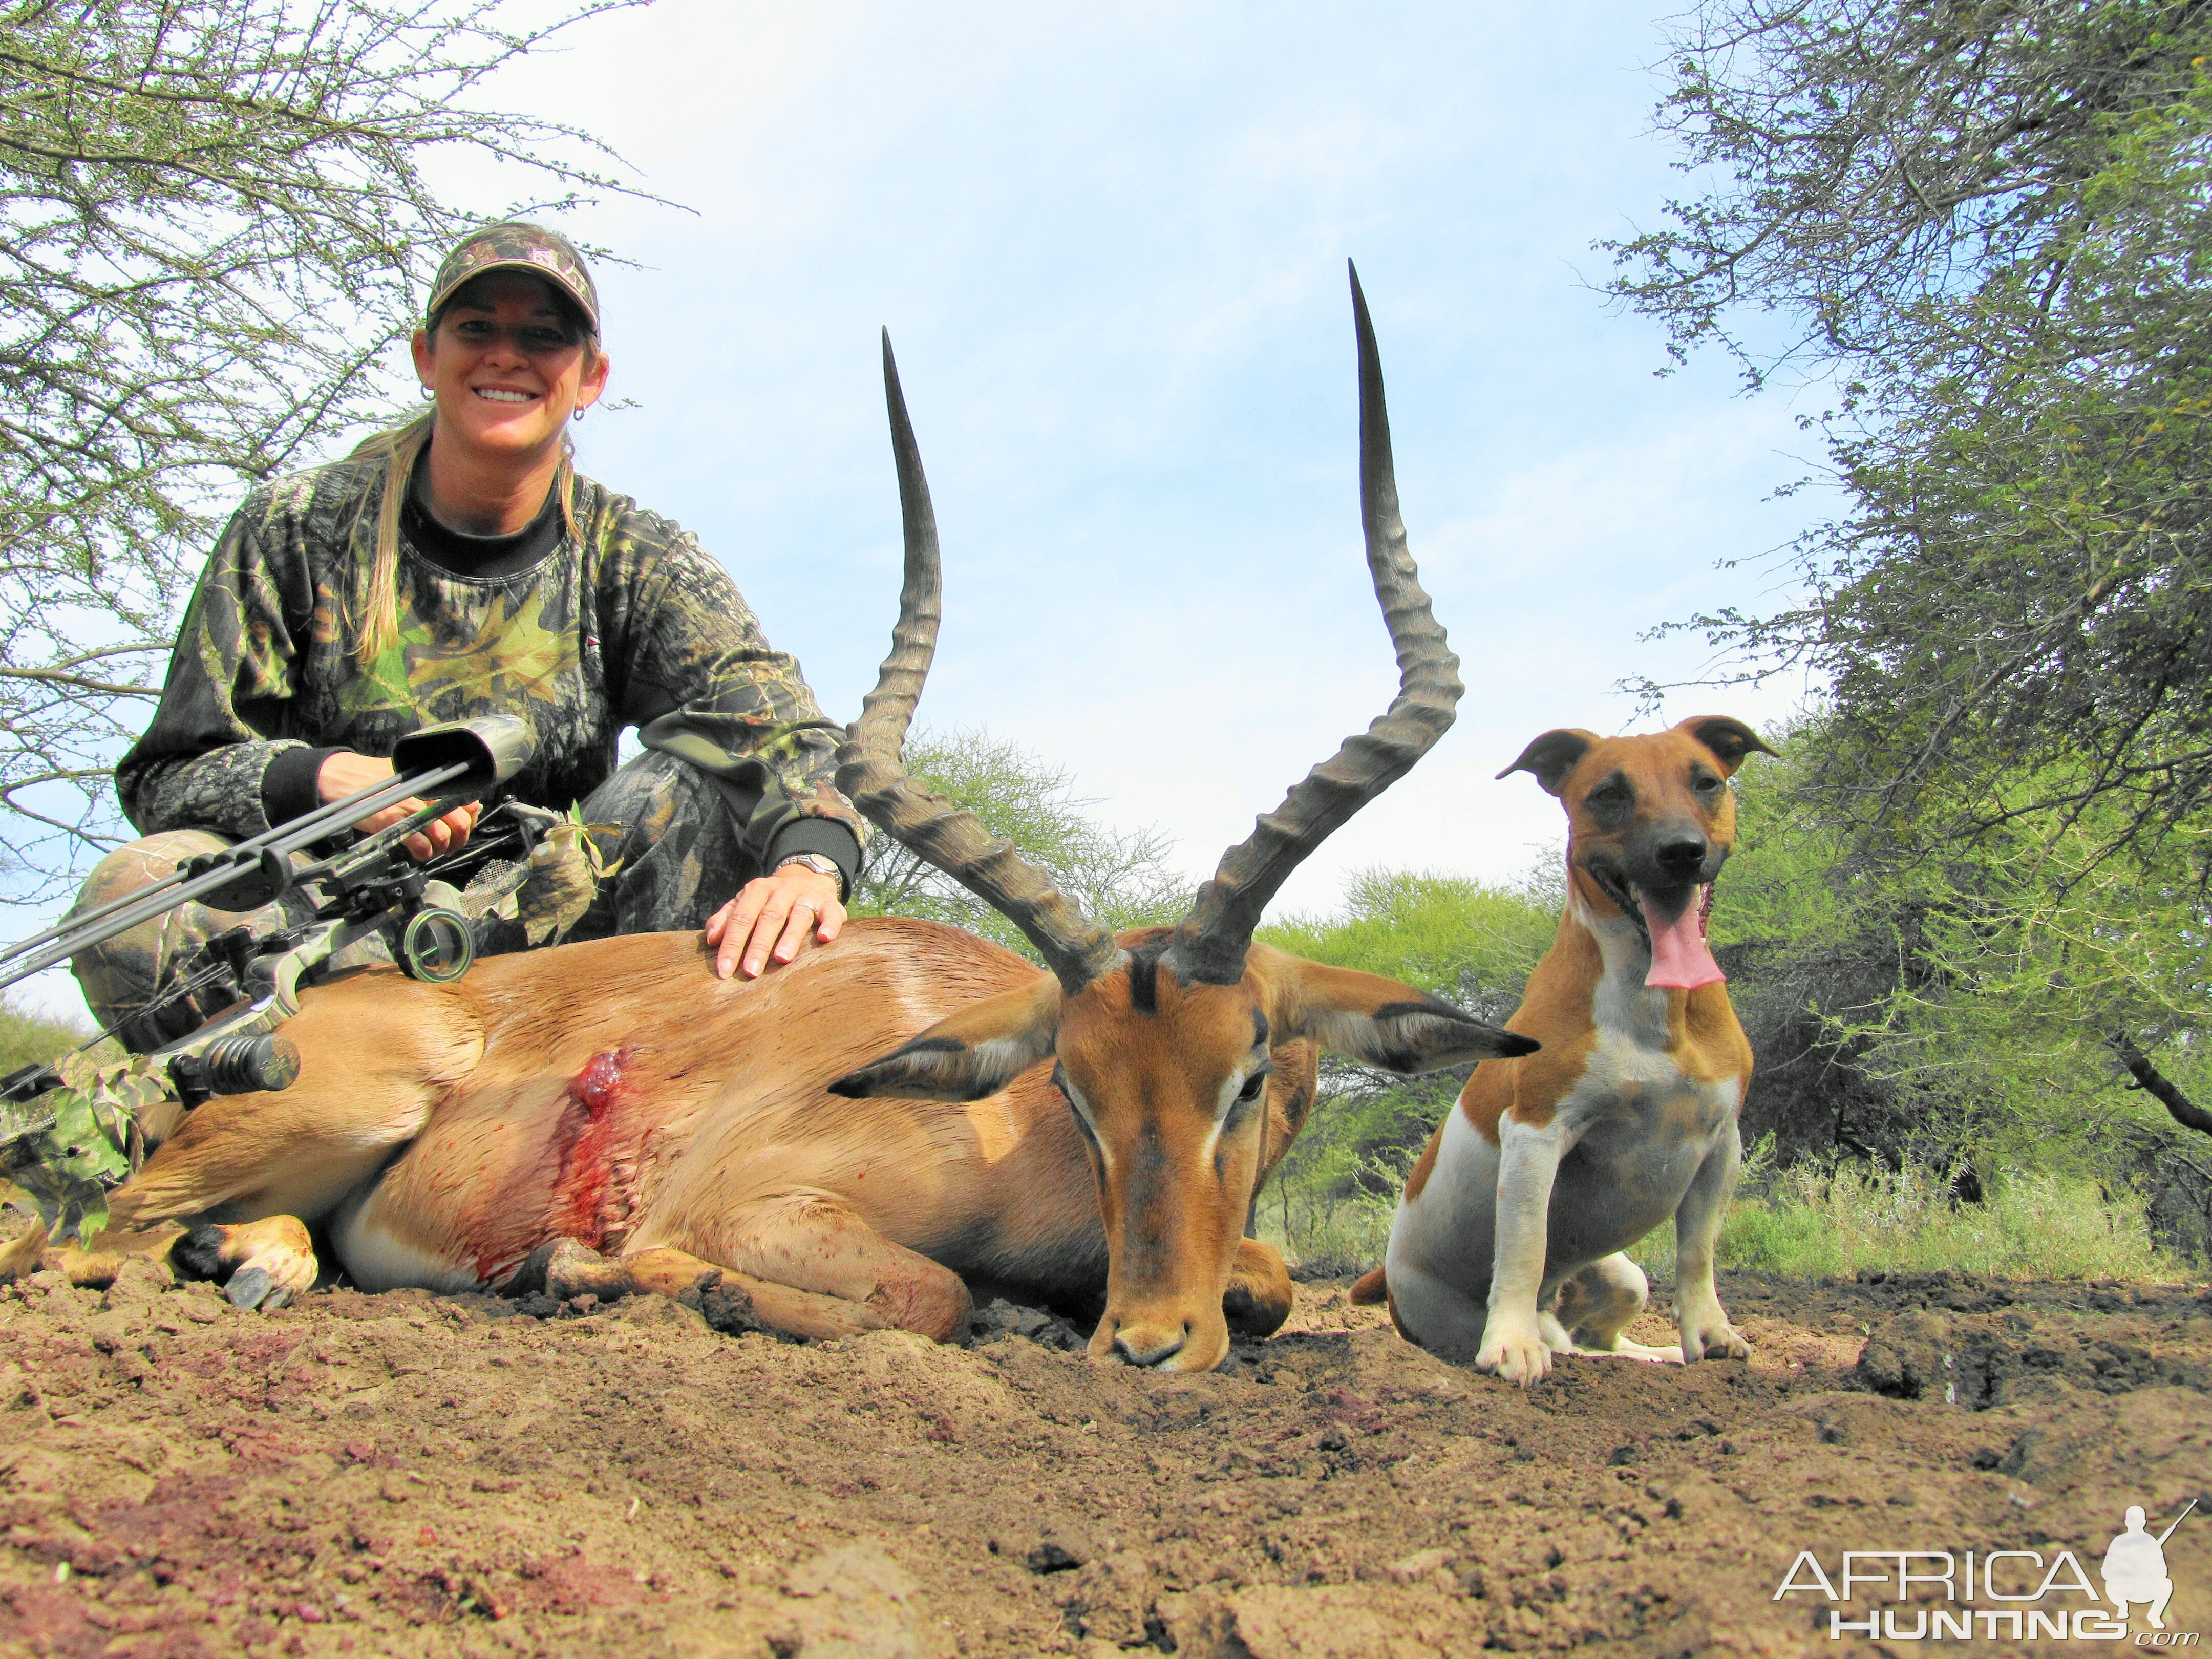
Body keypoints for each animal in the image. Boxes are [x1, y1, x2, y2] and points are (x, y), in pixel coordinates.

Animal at [1345, 716, 1778, 1389]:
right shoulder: (1538, 1133)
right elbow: (1525, 1246)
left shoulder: (1721, 1139)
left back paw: (1655, 1353)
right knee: (1563, 1332)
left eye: (1707, 782)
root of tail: (1387, 1281)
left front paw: (1709, 1337)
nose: (1681, 850)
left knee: (1603, 1337)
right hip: (1449, 1312)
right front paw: (1513, 1347)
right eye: (1608, 793)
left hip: (1625, 1276)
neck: (1655, 1004)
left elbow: (1698, 1254)